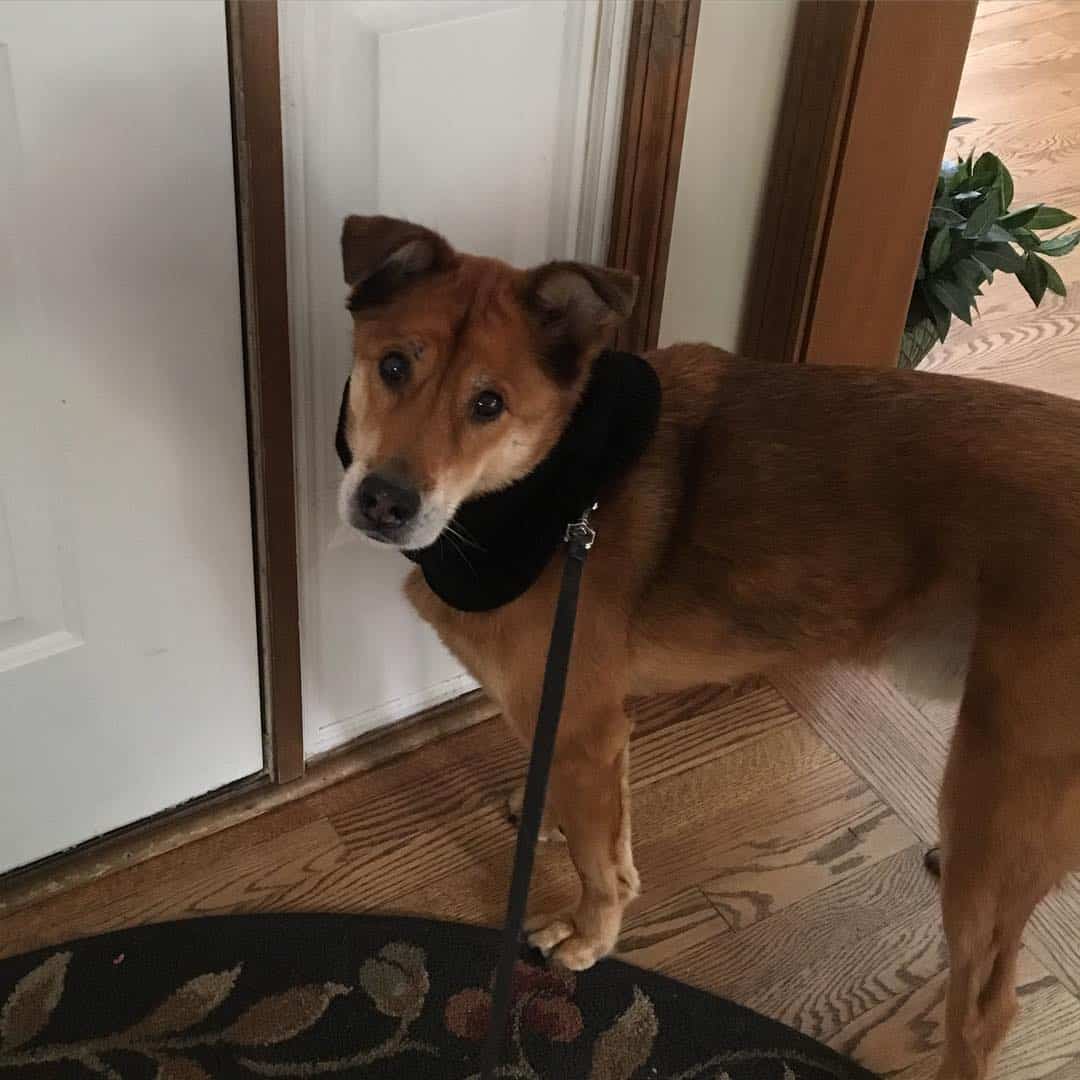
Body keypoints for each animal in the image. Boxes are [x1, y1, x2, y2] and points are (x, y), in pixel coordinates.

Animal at [332, 212, 1080, 1080]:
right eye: (392, 366)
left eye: (489, 404)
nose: (385, 500)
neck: (553, 489)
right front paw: (544, 814)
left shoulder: (591, 729)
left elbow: (603, 865)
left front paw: (586, 937)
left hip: (998, 801)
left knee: (989, 1007)